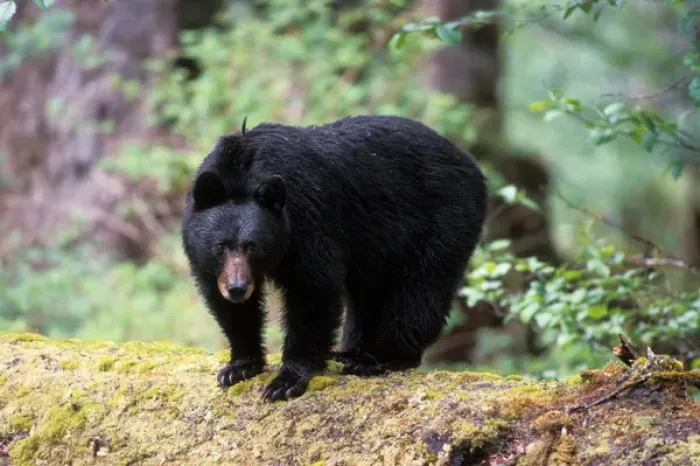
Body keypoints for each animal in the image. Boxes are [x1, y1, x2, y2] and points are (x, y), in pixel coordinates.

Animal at [181, 115, 488, 402]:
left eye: (252, 246)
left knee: (420, 291)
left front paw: (286, 381)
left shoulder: (309, 216)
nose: (237, 288)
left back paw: (379, 359)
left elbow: (313, 288)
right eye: (221, 245)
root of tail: (470, 164)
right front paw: (239, 366)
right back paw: (351, 352)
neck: (243, 168)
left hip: (443, 219)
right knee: (369, 294)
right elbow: (227, 305)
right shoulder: (210, 261)